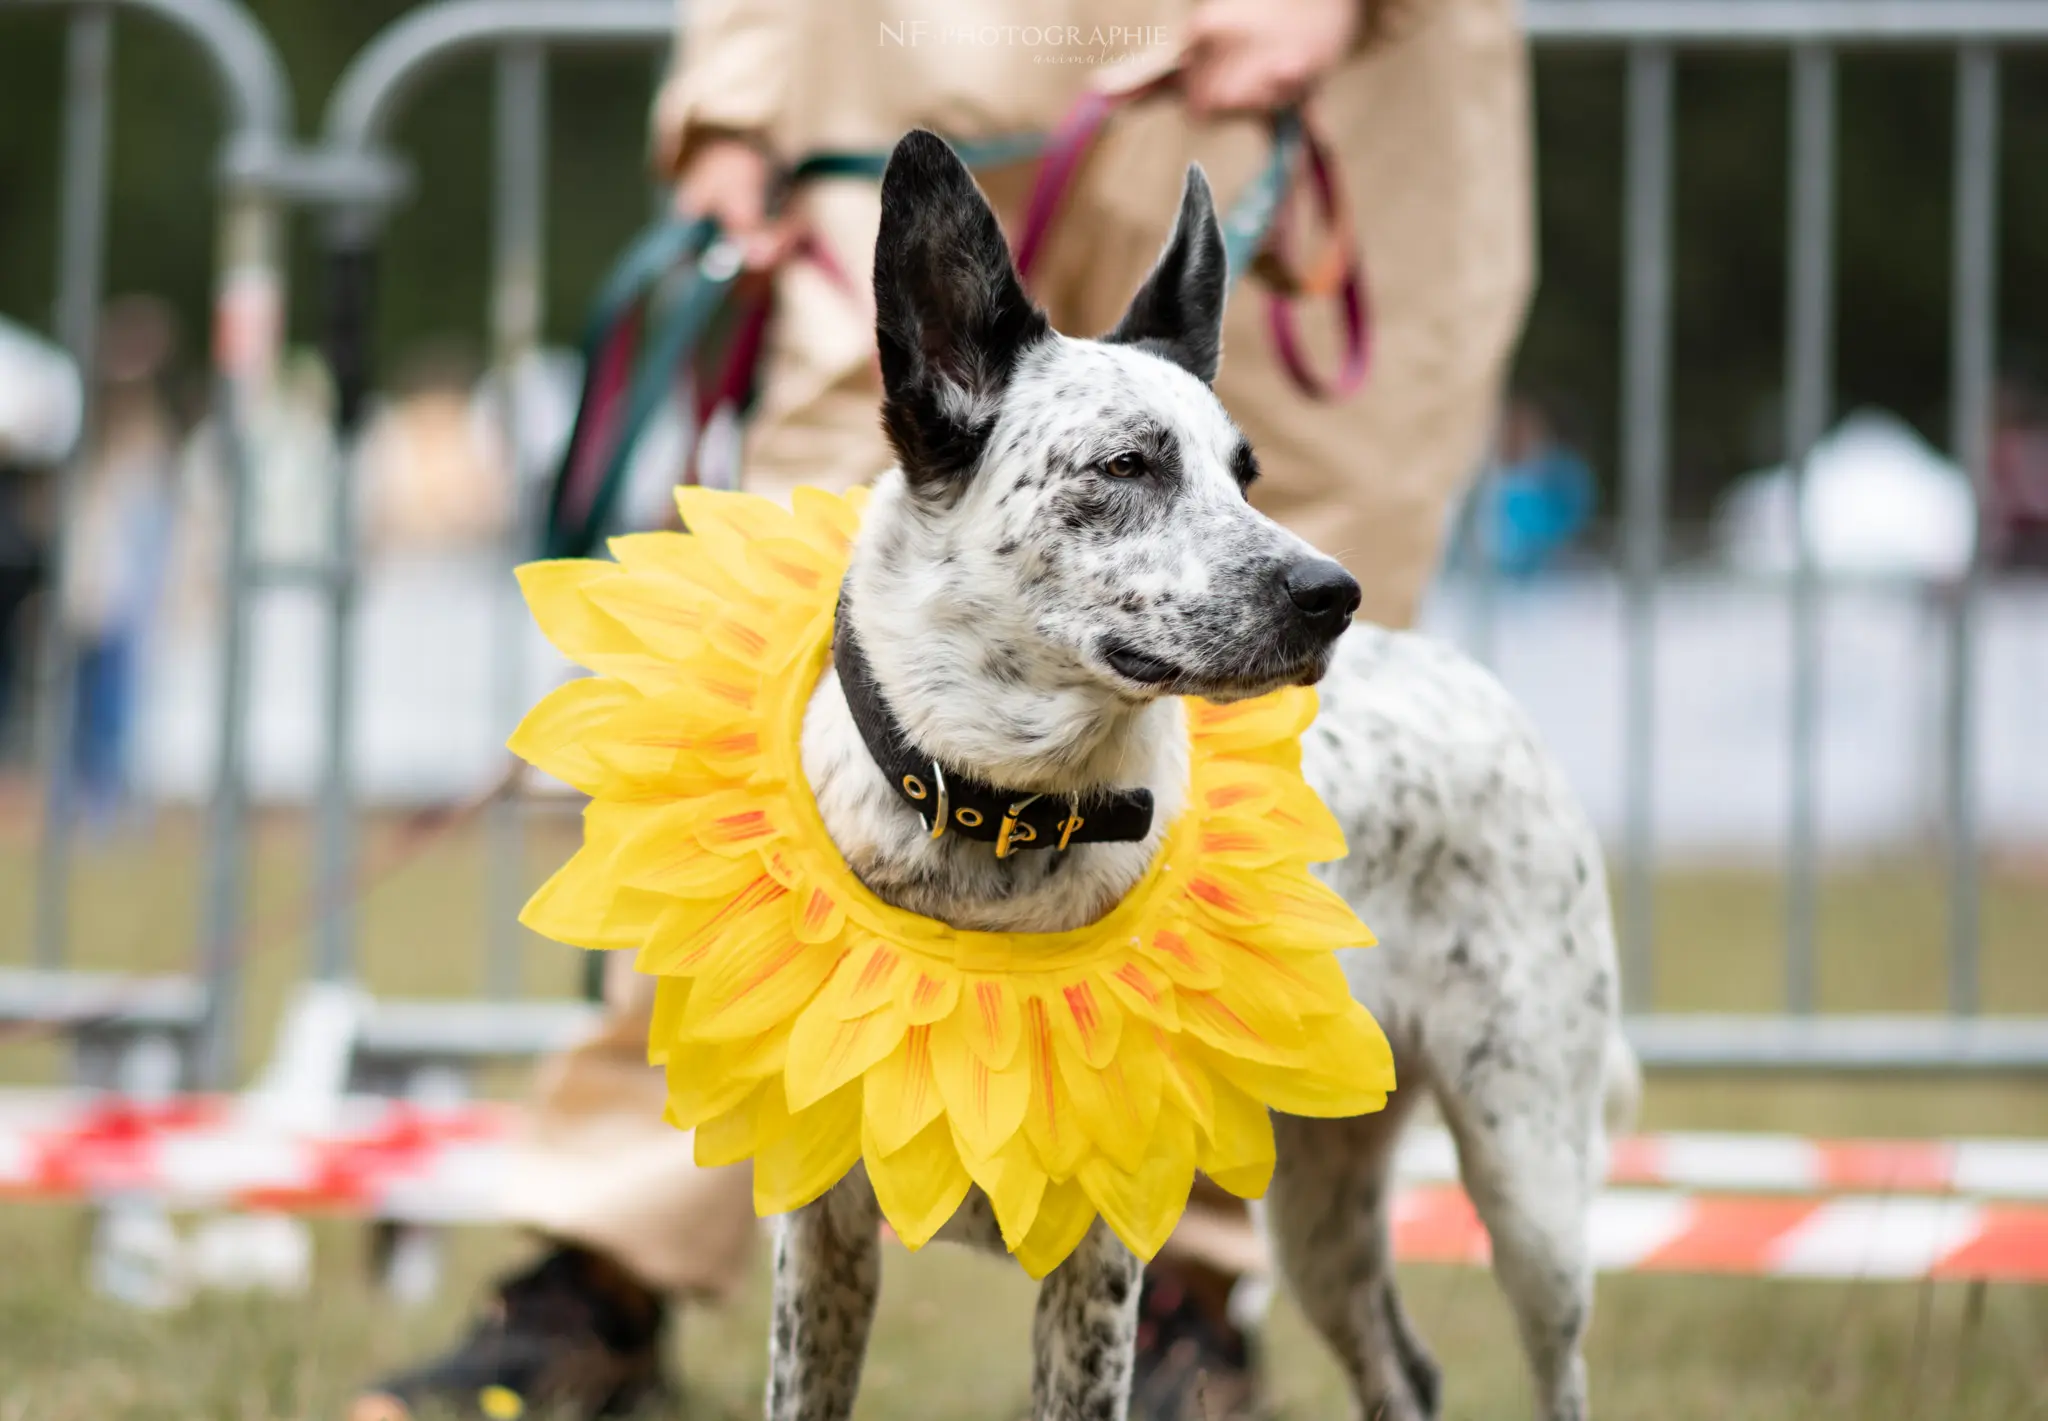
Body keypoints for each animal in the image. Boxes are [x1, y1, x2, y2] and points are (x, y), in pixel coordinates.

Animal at [770, 133, 1630, 1421]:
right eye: (1126, 463)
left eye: (1245, 472)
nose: (1331, 592)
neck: (997, 824)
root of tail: (1470, 681)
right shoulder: (819, 1233)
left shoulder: (1095, 1253)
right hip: (1321, 1197)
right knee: (1403, 1366)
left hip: (1527, 1180)